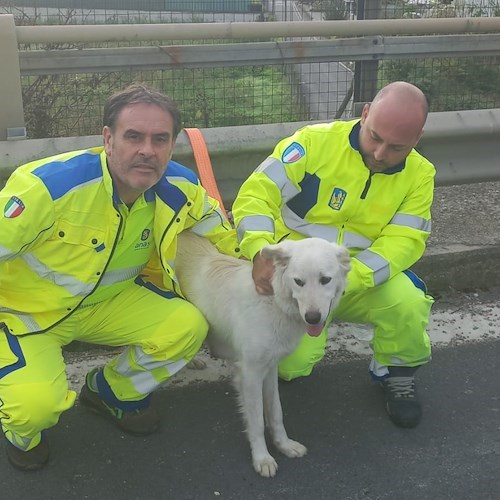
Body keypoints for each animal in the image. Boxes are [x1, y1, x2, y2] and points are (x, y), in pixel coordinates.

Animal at [176, 232, 352, 478]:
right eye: (299, 282)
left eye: (325, 279)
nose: (313, 318)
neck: (274, 302)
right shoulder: (250, 374)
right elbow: (258, 421)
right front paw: (262, 458)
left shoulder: (269, 368)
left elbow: (276, 413)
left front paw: (284, 445)